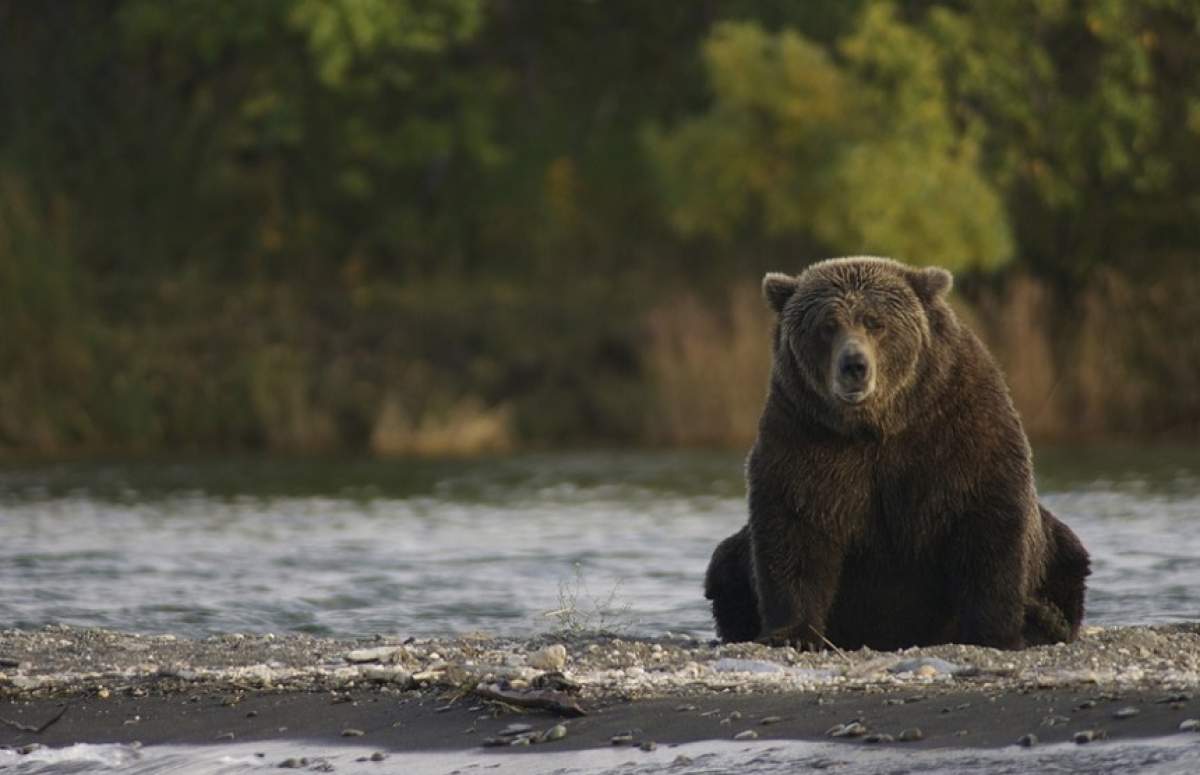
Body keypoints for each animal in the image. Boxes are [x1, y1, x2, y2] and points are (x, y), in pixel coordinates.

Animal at [700, 257, 1089, 652]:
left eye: (875, 322)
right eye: (827, 326)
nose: (854, 366)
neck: (877, 425)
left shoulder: (958, 429)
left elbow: (987, 525)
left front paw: (995, 633)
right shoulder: (805, 435)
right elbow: (795, 528)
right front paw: (793, 634)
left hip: (1057, 551)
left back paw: (1044, 619)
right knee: (725, 566)